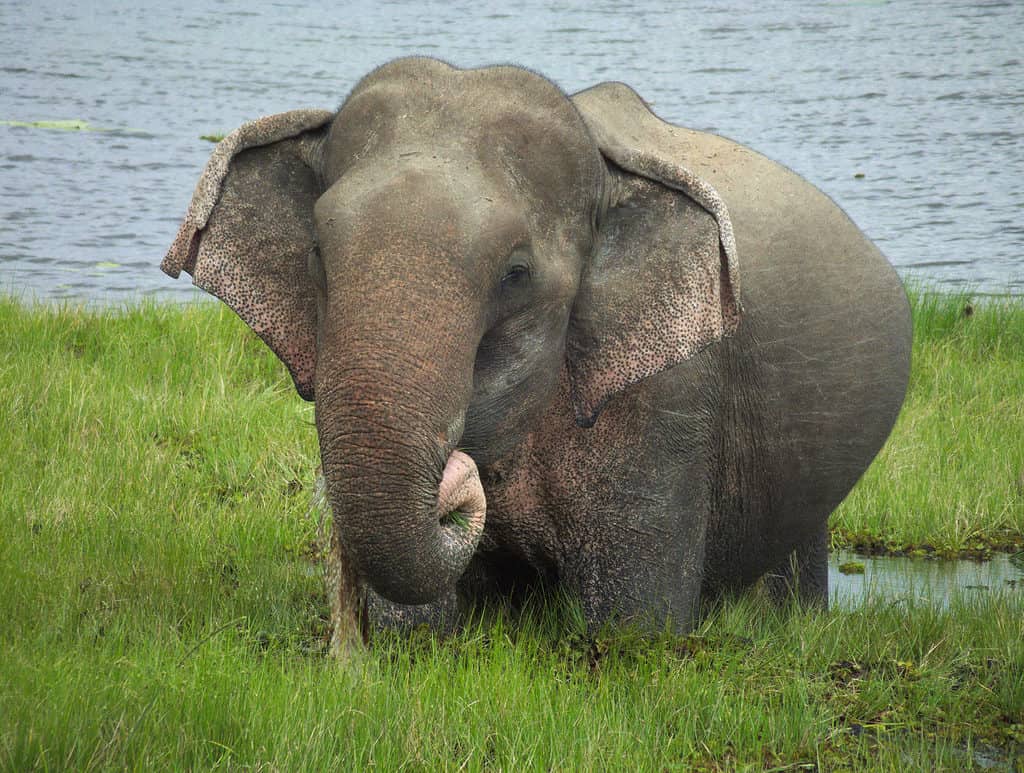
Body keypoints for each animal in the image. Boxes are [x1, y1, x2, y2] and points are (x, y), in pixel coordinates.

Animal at [162, 57, 911, 650]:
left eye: (515, 273)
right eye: (319, 254)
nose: (456, 479)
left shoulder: (668, 399)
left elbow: (633, 632)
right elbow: (417, 626)